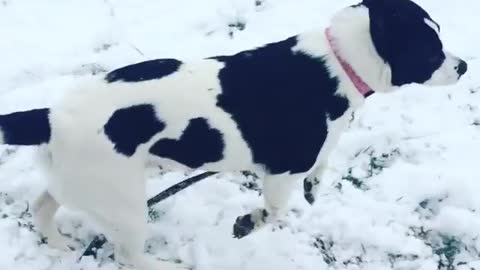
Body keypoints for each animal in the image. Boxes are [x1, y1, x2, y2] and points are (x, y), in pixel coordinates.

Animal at [0, 0, 468, 268]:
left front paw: (314, 187)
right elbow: (275, 211)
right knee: (130, 256)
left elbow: (323, 163)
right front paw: (248, 223)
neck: (337, 61)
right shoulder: (280, 171)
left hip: (81, 183)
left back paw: (58, 244)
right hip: (124, 204)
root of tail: (51, 116)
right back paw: (165, 265)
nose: (463, 66)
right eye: (431, 51)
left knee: (42, 206)